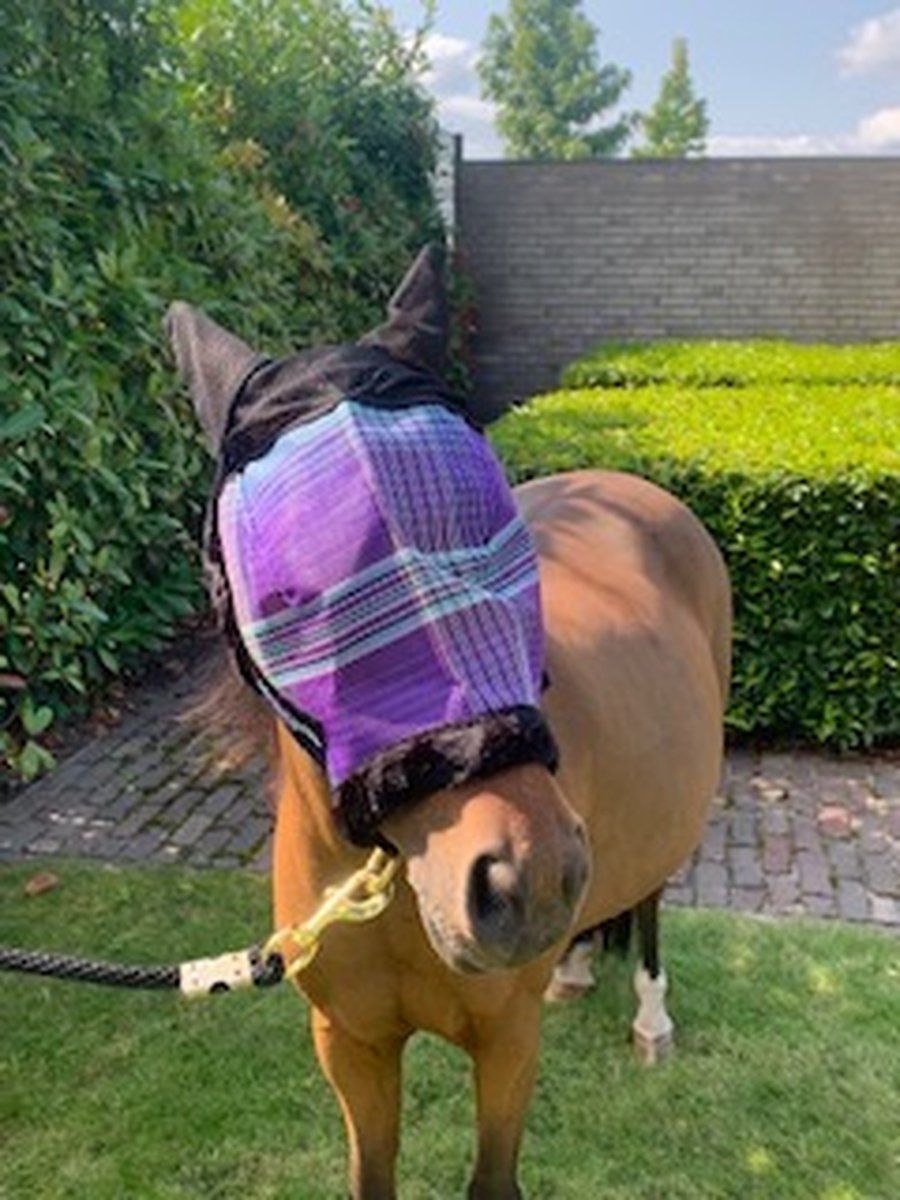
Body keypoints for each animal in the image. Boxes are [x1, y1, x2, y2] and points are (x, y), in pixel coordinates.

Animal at [166, 250, 731, 1200]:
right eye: (287, 597)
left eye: (502, 540)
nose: (527, 878)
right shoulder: (351, 1050)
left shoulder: (505, 1047)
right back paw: (575, 965)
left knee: (650, 901)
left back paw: (650, 1016)